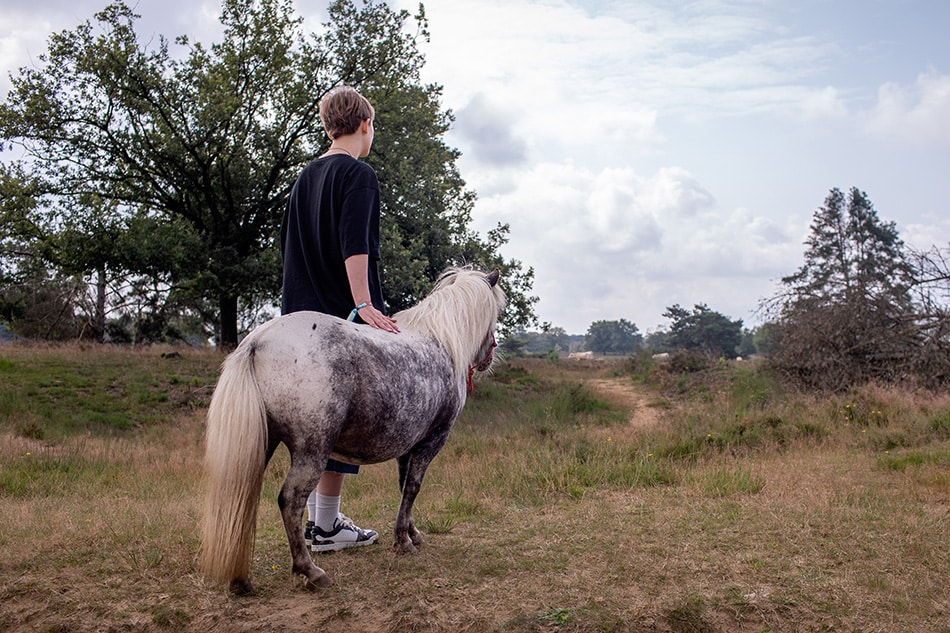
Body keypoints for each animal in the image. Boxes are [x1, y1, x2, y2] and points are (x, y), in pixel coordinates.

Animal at [199, 267, 505, 593]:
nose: (489, 356)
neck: (440, 340)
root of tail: (258, 341)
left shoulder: (408, 446)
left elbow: (404, 489)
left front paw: (411, 532)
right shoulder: (432, 440)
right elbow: (413, 488)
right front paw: (403, 541)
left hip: (261, 445)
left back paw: (240, 578)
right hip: (312, 451)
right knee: (290, 500)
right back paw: (310, 570)